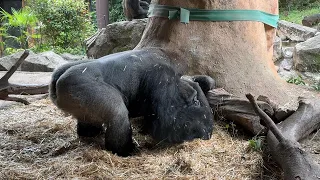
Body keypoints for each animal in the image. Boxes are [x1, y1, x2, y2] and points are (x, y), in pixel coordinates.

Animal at [49, 49, 215, 156]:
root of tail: (57, 80)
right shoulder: (161, 75)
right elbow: (168, 122)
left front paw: (204, 84)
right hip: (77, 85)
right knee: (117, 114)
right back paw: (124, 151)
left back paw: (89, 133)